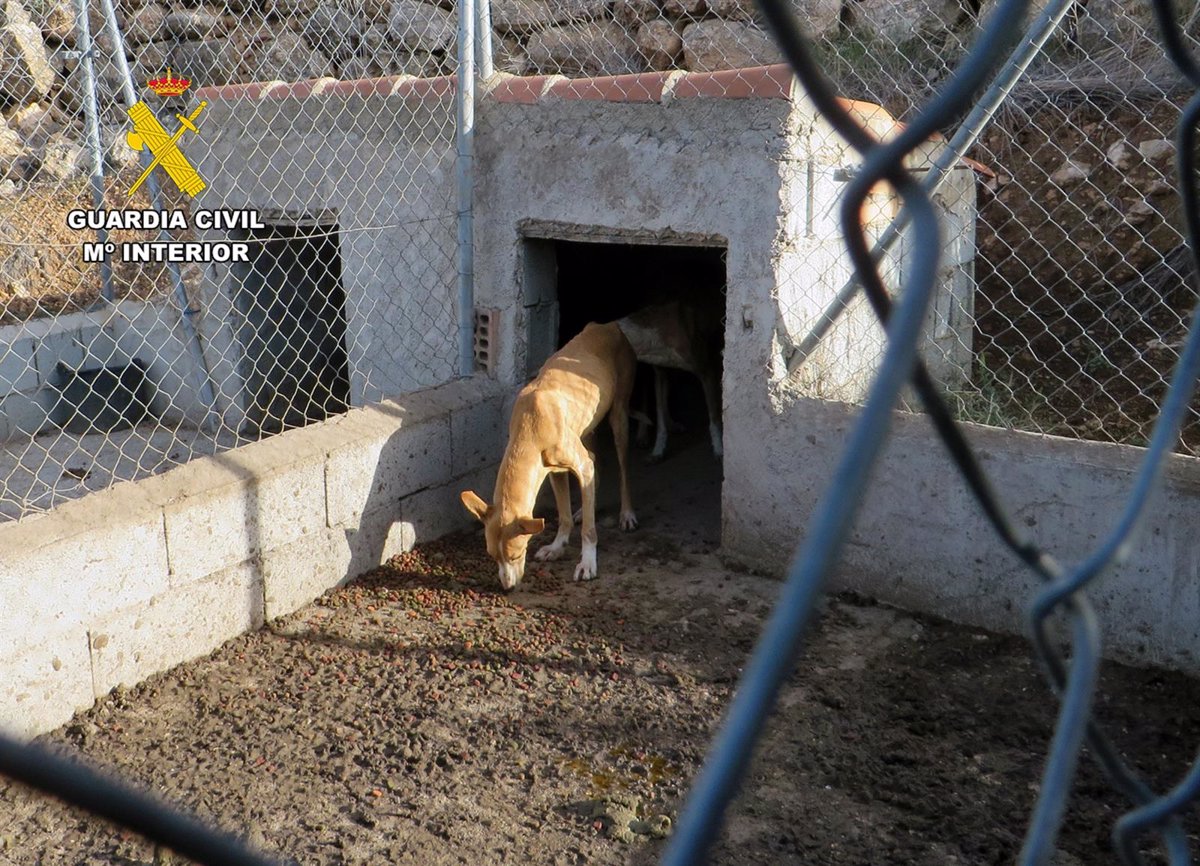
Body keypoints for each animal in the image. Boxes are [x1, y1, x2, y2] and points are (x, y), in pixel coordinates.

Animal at [458, 321, 643, 590]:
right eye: (492, 556)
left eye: (516, 554)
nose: (507, 588)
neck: (531, 426)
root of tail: (606, 325)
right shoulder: (555, 471)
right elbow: (564, 515)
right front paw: (557, 547)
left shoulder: (578, 464)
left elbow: (589, 530)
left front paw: (587, 564)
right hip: (586, 429)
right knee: (594, 465)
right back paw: (584, 509)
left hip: (619, 416)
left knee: (624, 470)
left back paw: (627, 514)